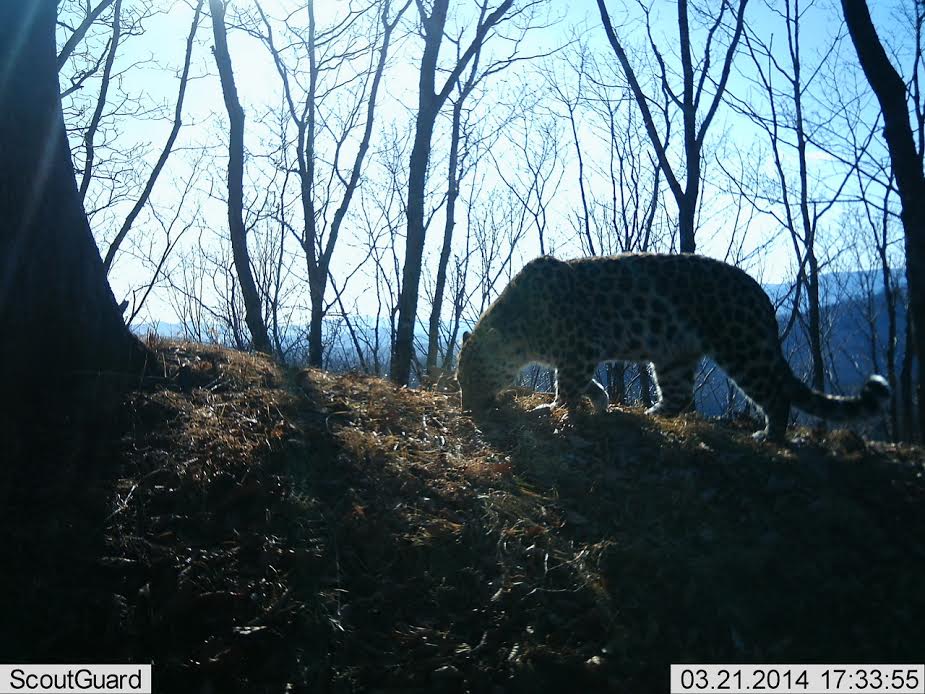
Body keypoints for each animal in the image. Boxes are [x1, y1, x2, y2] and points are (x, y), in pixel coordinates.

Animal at [454, 253, 888, 444]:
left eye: (470, 375)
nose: (467, 406)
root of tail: (761, 298)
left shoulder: (578, 349)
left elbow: (568, 387)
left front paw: (554, 408)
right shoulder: (578, 357)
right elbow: (587, 385)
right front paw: (601, 402)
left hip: (742, 348)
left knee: (775, 394)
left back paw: (769, 435)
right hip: (672, 355)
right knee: (679, 396)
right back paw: (651, 412)